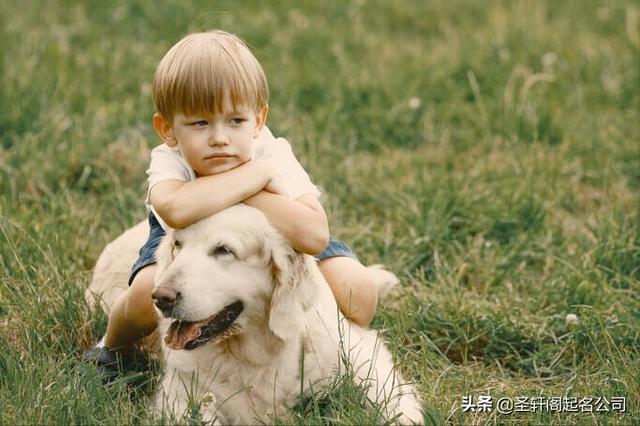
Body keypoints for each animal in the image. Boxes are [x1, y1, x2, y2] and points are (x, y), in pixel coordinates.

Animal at [86, 206, 424, 422]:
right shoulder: (181, 394)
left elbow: (393, 403)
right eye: (178, 245)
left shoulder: (365, 356)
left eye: (223, 250)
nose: (161, 298)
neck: (255, 353)